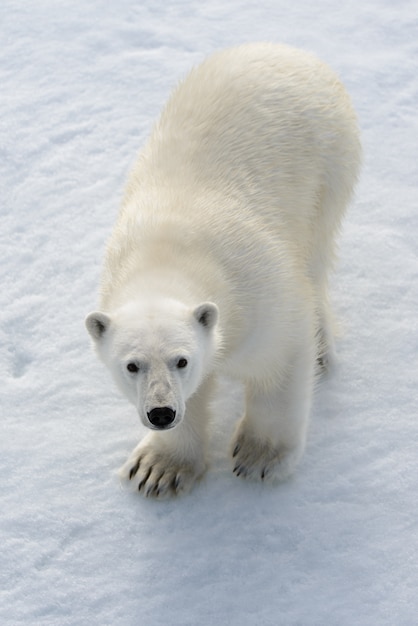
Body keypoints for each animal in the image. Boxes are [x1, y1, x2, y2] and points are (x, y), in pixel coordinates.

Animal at [85, 44, 360, 498]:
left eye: (182, 360)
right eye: (131, 365)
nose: (161, 412)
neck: (167, 254)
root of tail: (287, 50)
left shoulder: (256, 292)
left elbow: (280, 360)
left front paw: (260, 456)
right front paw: (157, 469)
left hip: (328, 166)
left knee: (315, 256)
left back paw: (323, 346)